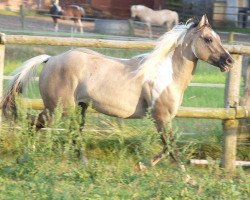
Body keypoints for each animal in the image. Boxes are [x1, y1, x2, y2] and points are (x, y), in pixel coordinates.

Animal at [0, 15, 233, 168]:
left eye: (218, 38)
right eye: (208, 39)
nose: (229, 61)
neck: (166, 74)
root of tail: (51, 59)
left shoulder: (163, 119)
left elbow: (168, 146)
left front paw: (147, 165)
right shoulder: (161, 117)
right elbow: (171, 146)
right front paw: (181, 175)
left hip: (78, 108)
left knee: (73, 132)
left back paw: (82, 161)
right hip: (58, 109)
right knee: (35, 124)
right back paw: (26, 156)